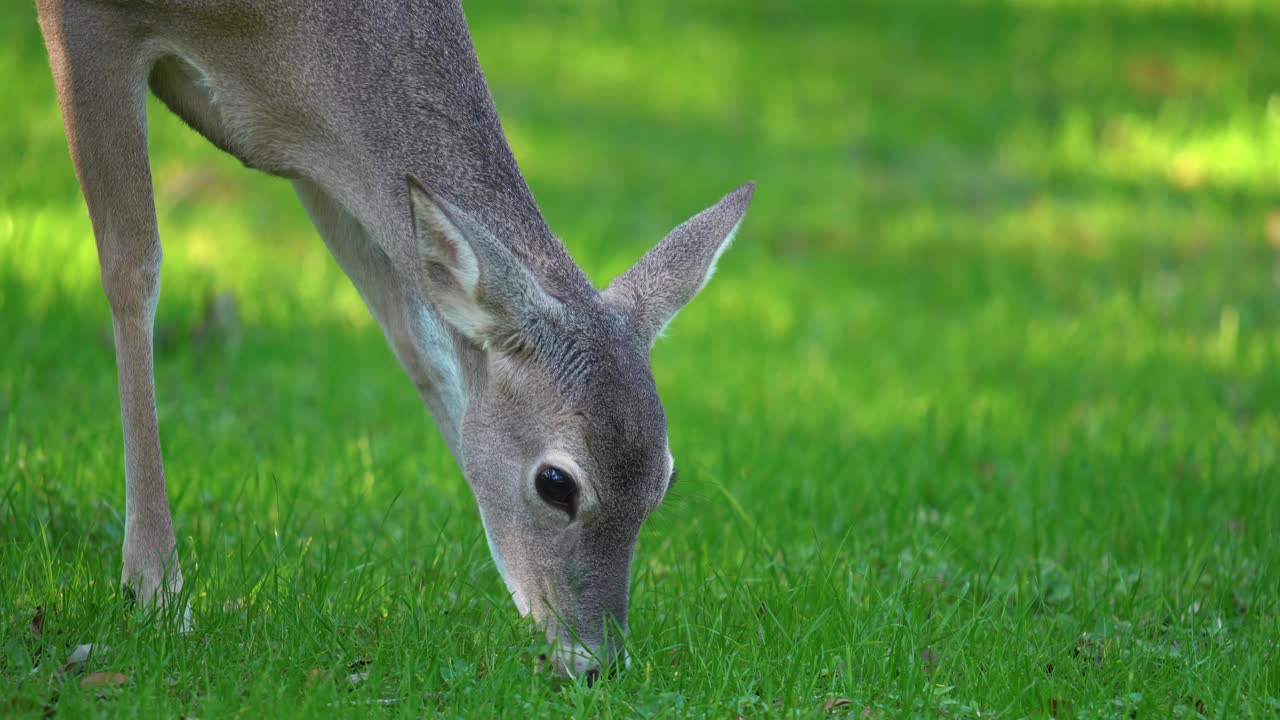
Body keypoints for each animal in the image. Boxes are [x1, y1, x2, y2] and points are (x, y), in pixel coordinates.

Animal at [35, 0, 752, 676]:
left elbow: (418, 341)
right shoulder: (88, 22)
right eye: (556, 482)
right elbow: (133, 268)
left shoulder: (313, 153)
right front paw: (156, 590)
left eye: (665, 480)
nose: (598, 661)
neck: (272, 44)